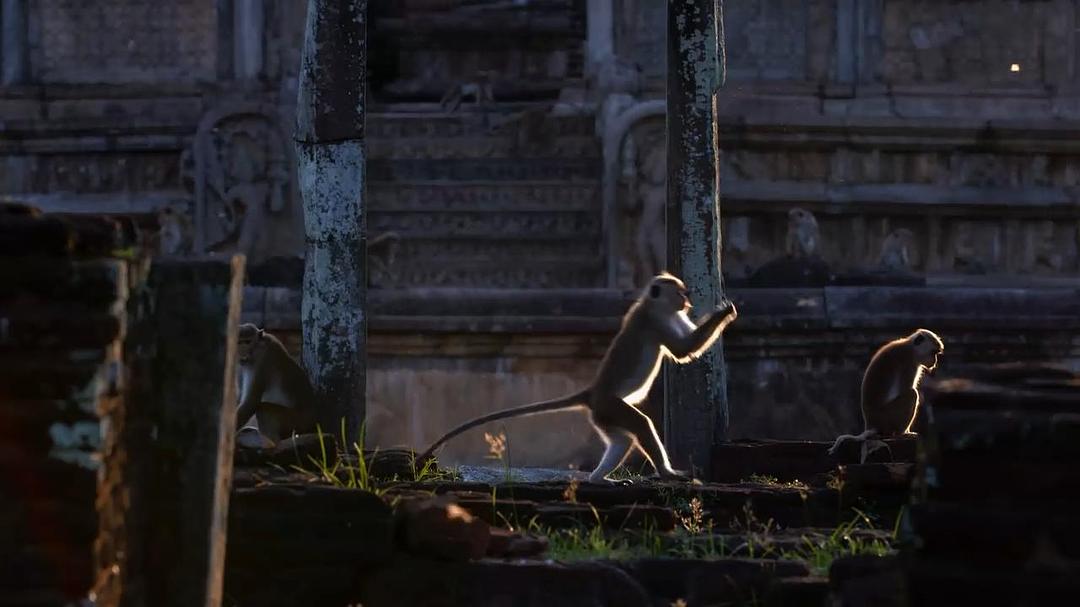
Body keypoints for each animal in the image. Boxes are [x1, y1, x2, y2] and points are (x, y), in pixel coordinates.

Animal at [417, 273, 738, 483]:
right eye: (680, 293)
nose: (686, 301)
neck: (652, 304)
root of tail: (592, 392)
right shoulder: (657, 321)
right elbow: (684, 351)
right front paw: (726, 311)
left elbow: (687, 350)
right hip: (610, 406)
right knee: (640, 425)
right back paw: (666, 473)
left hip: (603, 415)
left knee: (622, 439)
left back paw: (598, 479)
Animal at [828, 329, 945, 462]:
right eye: (933, 353)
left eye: (936, 354)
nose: (934, 362)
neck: (910, 347)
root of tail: (871, 424)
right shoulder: (908, 364)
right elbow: (906, 389)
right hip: (887, 417)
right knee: (912, 394)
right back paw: (901, 433)